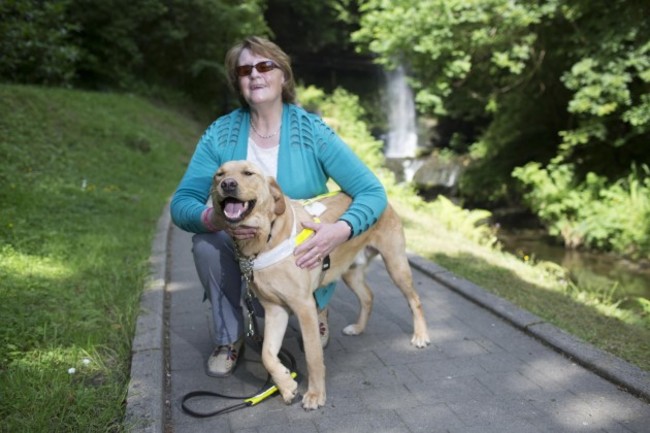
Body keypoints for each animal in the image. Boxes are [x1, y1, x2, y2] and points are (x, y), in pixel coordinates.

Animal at [209, 160, 430, 410]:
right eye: (219, 175)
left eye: (248, 173)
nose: (227, 184)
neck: (264, 241)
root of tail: (386, 200)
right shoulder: (276, 310)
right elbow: (267, 354)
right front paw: (286, 384)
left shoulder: (304, 308)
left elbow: (313, 357)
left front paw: (315, 394)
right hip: (350, 272)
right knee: (368, 296)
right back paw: (358, 327)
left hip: (396, 265)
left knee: (415, 300)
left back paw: (421, 335)